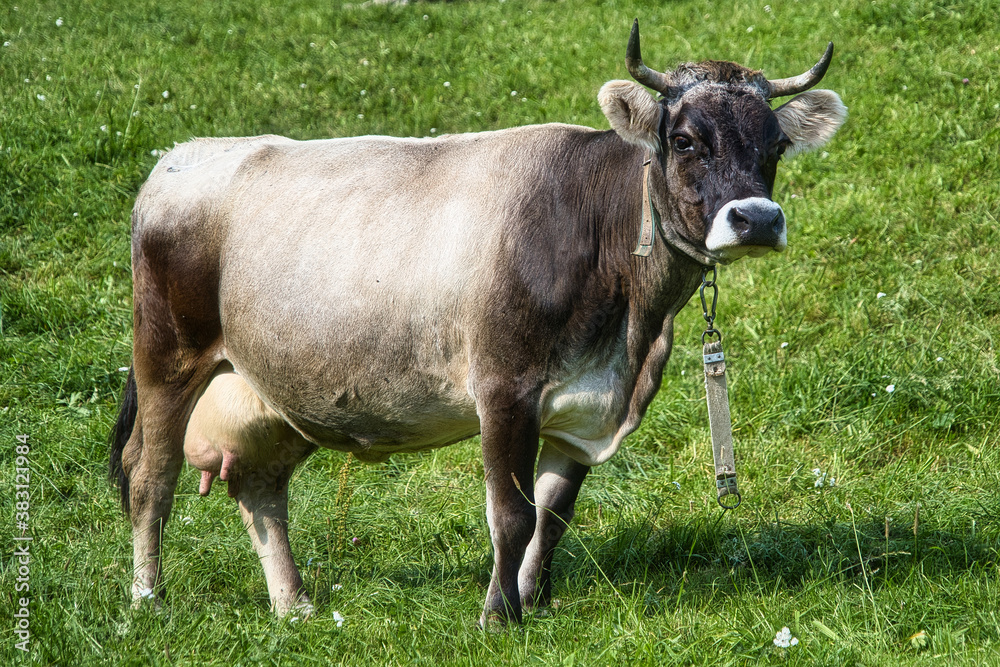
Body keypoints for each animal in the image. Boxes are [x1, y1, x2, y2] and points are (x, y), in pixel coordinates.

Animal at [107, 20, 844, 628]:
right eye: (687, 139)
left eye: (777, 143)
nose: (756, 218)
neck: (631, 328)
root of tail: (179, 157)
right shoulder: (505, 388)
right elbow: (511, 514)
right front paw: (497, 615)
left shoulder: (583, 409)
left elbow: (552, 515)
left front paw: (530, 599)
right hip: (167, 356)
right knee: (150, 473)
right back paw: (147, 600)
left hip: (275, 384)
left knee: (259, 487)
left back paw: (295, 607)